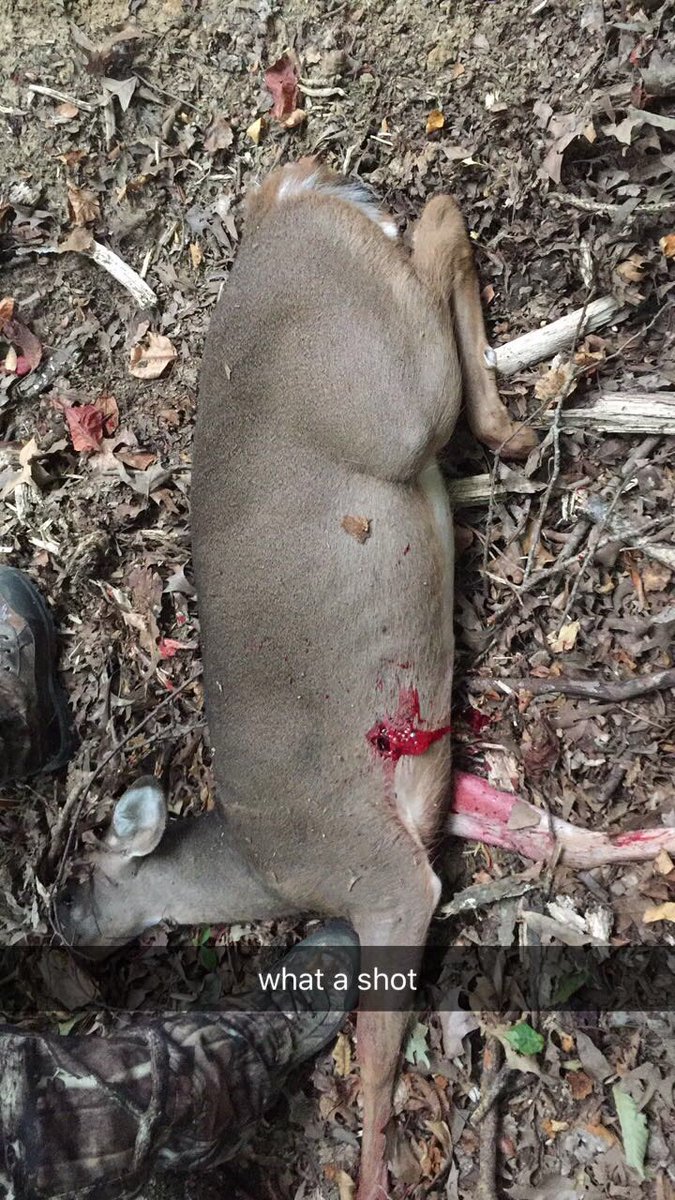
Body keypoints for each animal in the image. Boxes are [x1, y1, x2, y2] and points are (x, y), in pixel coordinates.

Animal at [56, 157, 537, 1200]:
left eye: (74, 889)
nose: (64, 945)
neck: (263, 869)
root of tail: (279, 204)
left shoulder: (379, 873)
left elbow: (376, 1065)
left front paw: (372, 1176)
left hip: (382, 395)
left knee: (435, 226)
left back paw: (512, 428)